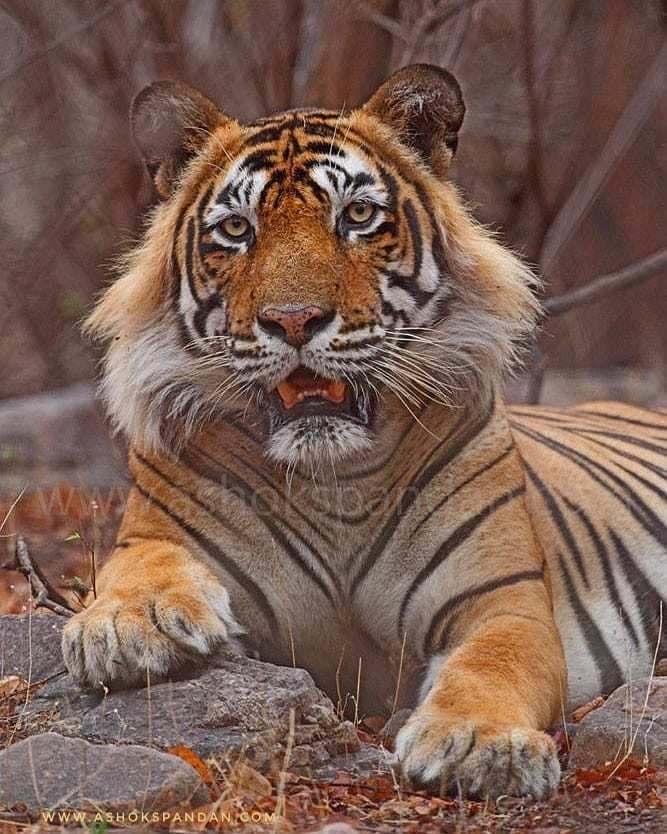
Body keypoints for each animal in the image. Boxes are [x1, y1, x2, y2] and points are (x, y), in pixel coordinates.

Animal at [62, 64, 667, 800]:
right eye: (236, 228)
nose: (293, 320)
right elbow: (137, 566)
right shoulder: (158, 534)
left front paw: (477, 743)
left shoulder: (501, 603)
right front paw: (127, 624)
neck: (334, 480)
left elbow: (492, 665)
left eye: (355, 216)